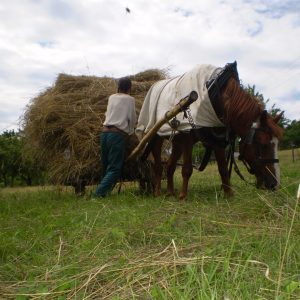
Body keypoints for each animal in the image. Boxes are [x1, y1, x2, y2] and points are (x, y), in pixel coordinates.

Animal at [136, 62, 284, 200]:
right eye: (262, 144)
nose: (275, 184)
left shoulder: (217, 138)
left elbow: (223, 168)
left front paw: (228, 194)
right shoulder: (187, 136)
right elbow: (187, 169)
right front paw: (183, 196)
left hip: (177, 141)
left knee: (170, 165)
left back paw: (170, 192)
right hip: (157, 137)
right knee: (158, 166)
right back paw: (157, 192)